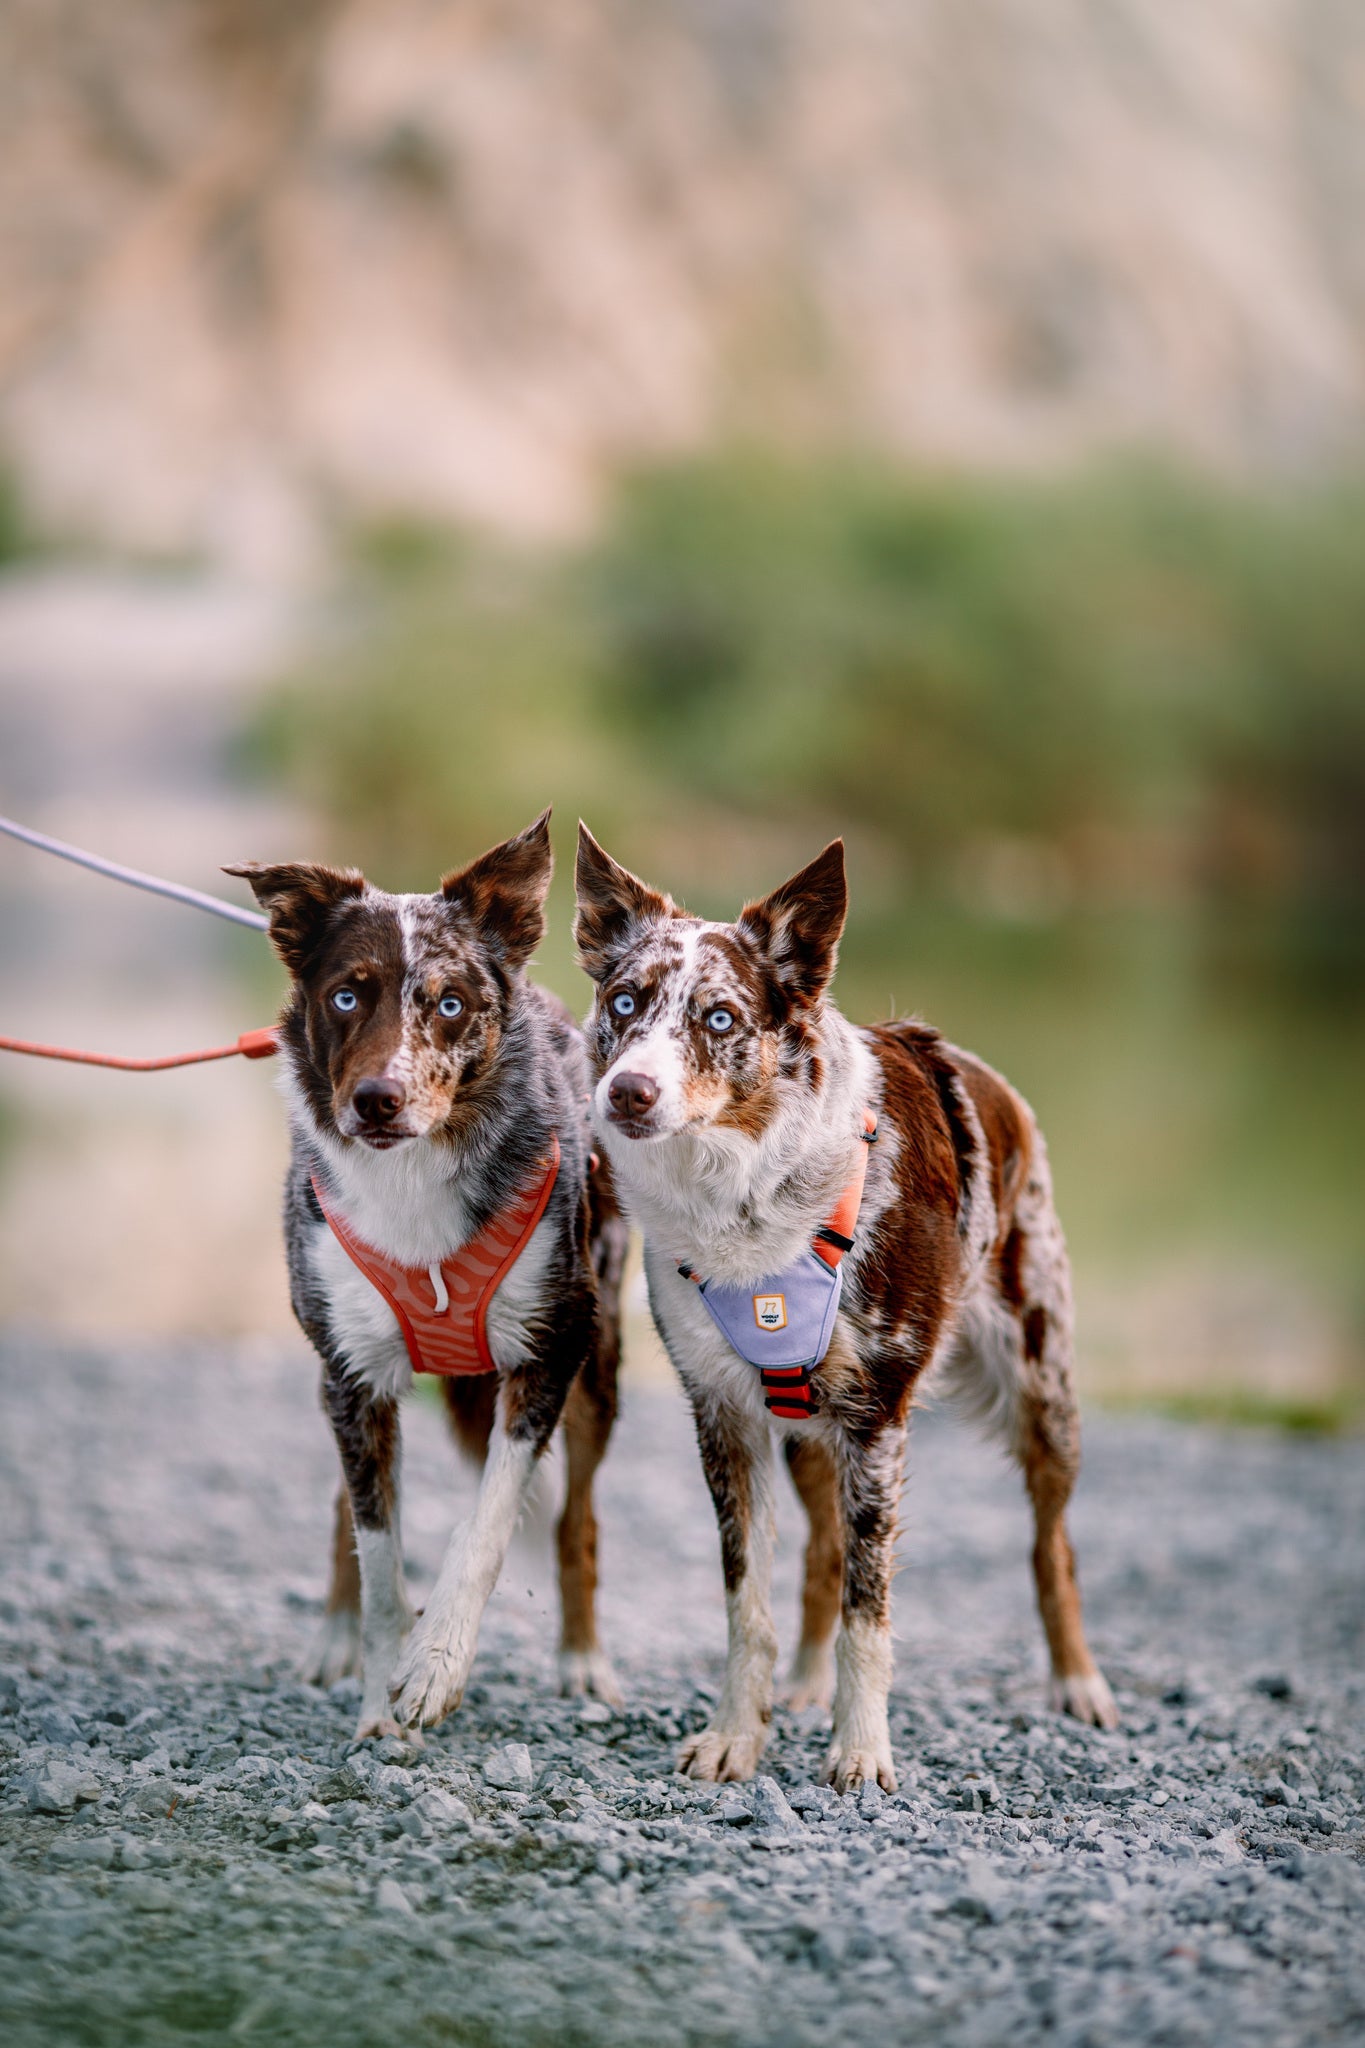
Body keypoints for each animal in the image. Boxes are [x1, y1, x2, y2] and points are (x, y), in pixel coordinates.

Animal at [227, 815, 626, 1744]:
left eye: (448, 1004)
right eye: (346, 997)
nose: (377, 1099)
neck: (413, 1179)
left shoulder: (551, 1349)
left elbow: (485, 1524)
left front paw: (435, 1666)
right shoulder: (351, 1371)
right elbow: (377, 1549)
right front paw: (378, 1690)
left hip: (602, 1364)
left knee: (577, 1517)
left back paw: (582, 1660)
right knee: (349, 1503)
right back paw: (335, 1639)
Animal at [573, 827, 1113, 1794]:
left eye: (719, 1019)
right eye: (625, 1001)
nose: (627, 1091)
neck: (748, 1200)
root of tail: (996, 1085)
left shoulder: (876, 1421)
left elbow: (872, 1611)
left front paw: (860, 1751)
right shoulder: (725, 1418)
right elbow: (747, 1603)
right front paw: (736, 1736)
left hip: (1042, 1392)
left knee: (1052, 1545)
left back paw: (1077, 1683)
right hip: (807, 1432)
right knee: (823, 1551)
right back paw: (800, 1686)